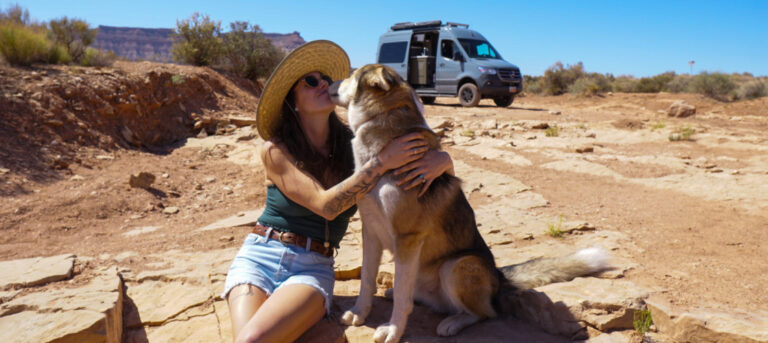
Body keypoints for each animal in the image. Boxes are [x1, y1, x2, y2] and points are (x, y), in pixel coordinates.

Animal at [328, 63, 608, 343]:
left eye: (351, 76)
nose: (329, 82)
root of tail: (499, 276)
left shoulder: (408, 238)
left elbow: (399, 294)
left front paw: (393, 330)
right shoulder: (371, 231)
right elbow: (367, 280)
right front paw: (359, 313)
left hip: (455, 266)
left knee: (483, 312)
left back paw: (452, 323)